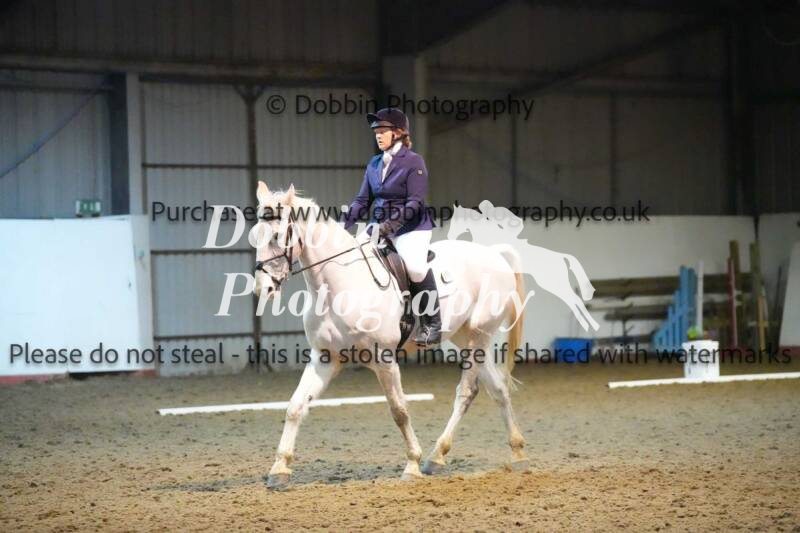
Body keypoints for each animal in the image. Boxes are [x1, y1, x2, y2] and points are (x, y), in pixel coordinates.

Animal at [253, 182, 529, 489]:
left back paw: (435, 456)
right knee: (499, 389)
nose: (263, 289)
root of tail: (494, 254)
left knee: (467, 392)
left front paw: (412, 464)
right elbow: (296, 406)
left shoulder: (384, 359)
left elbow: (399, 411)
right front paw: (279, 469)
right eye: (255, 236)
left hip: (479, 336)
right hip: (465, 338)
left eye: (277, 237)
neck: (340, 285)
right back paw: (515, 452)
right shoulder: (325, 358)